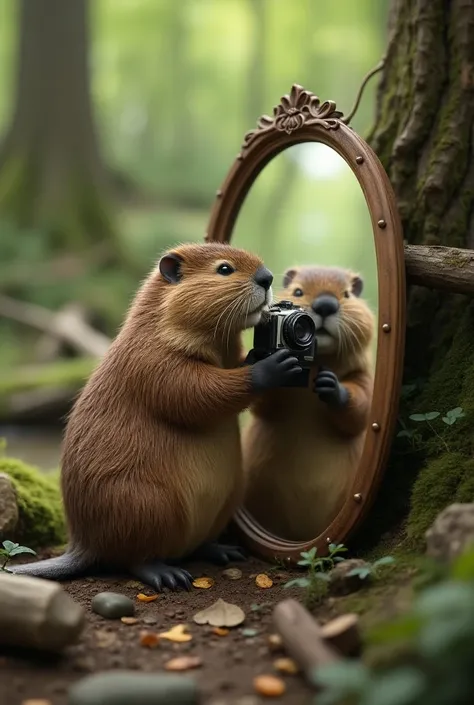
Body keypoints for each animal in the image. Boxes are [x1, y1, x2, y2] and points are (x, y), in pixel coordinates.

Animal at [243, 264, 376, 540]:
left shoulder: (363, 376)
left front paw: (330, 384)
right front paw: (263, 364)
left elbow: (361, 409)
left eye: (347, 294)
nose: (325, 305)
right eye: (298, 291)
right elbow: (263, 407)